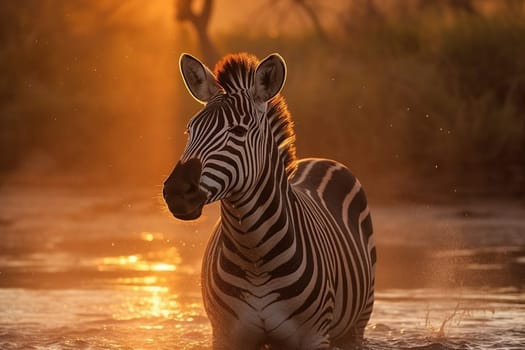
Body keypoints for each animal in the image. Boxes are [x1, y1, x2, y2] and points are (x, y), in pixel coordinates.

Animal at [162, 52, 374, 350]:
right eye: (190, 130)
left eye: (239, 131)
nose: (176, 191)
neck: (254, 254)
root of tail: (319, 159)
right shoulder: (225, 334)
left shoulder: (314, 336)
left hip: (357, 324)